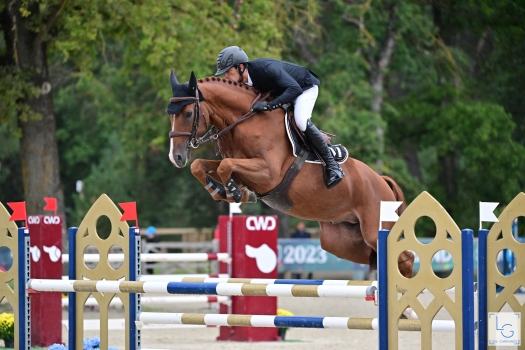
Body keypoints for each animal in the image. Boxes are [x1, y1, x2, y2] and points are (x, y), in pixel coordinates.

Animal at [166, 71, 412, 278]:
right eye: (170, 116)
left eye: (188, 113)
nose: (176, 157)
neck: (244, 121)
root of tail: (383, 181)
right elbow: (201, 165)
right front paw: (222, 191)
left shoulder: (268, 173)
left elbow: (225, 166)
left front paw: (235, 192)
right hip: (342, 241)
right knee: (381, 258)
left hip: (374, 230)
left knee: (405, 258)